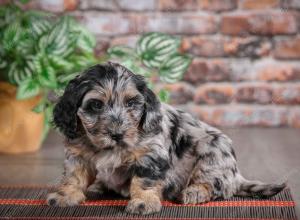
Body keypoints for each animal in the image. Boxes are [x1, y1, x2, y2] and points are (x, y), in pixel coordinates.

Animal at [47, 62, 286, 215]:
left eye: (131, 103)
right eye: (96, 105)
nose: (117, 134)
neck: (109, 148)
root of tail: (236, 175)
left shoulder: (150, 155)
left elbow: (144, 180)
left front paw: (143, 202)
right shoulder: (77, 155)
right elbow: (73, 177)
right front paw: (65, 196)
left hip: (214, 151)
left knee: (215, 185)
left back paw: (194, 192)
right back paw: (99, 187)